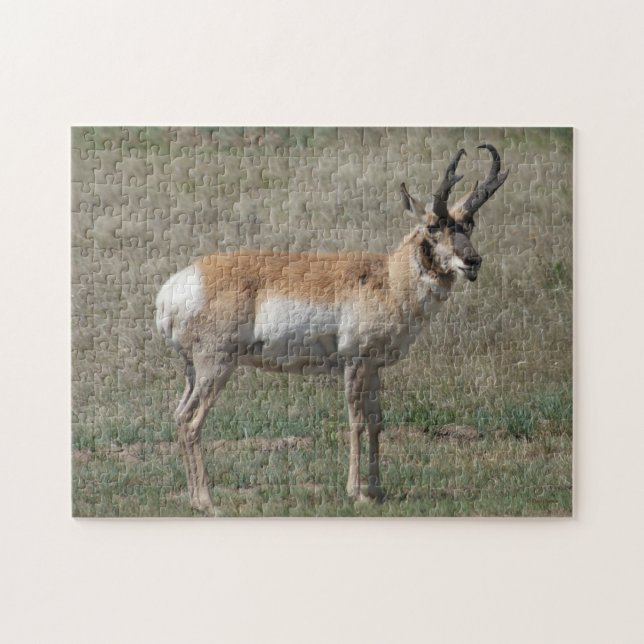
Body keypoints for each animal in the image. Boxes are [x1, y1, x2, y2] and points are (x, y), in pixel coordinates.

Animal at [155, 144, 508, 514]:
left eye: (469, 224)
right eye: (432, 227)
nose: (472, 262)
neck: (389, 278)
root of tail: (174, 290)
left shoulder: (374, 368)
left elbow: (376, 422)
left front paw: (377, 490)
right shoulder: (354, 364)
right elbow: (356, 422)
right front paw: (356, 493)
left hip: (194, 371)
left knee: (179, 416)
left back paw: (195, 499)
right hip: (216, 367)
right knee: (191, 421)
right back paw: (208, 502)